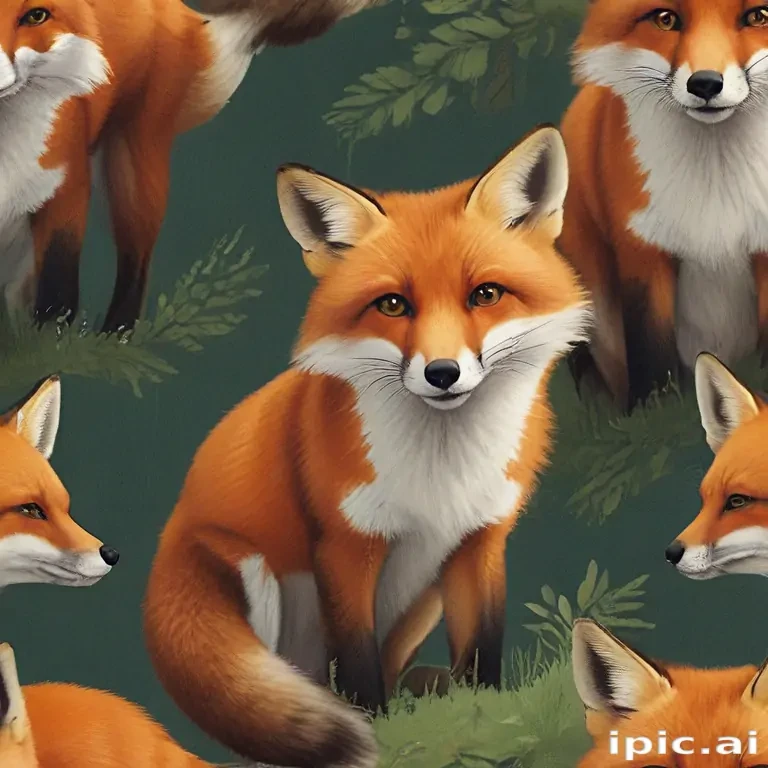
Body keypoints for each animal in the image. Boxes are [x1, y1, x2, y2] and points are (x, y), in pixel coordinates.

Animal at [0, 0, 381, 335]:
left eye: (35, 15)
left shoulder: (66, 192)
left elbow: (56, 299)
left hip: (132, 176)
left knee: (135, 266)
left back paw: (114, 335)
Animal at [142, 124, 592, 768]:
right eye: (393, 305)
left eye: (485, 294)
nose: (442, 373)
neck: (439, 473)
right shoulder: (345, 547)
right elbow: (355, 668)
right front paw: (377, 732)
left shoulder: (480, 540)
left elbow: (480, 654)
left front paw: (483, 721)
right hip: (249, 570)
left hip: (422, 598)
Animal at [558, 0, 768, 411]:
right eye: (666, 19)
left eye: (757, 17)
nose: (705, 84)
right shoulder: (642, 253)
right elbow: (651, 353)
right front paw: (655, 408)